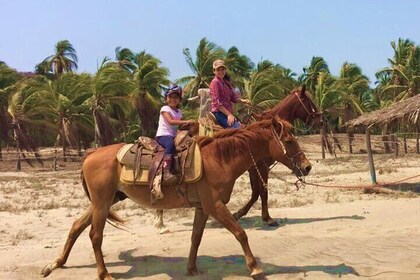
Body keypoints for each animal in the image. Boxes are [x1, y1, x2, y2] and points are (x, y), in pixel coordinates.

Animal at [41, 117, 312, 280]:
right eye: (289, 141)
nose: (307, 167)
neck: (218, 159)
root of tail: (90, 155)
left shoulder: (203, 207)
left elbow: (196, 238)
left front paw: (192, 268)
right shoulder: (215, 206)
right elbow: (240, 233)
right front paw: (255, 268)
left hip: (106, 201)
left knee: (76, 227)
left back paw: (55, 264)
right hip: (102, 202)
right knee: (95, 235)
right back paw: (104, 273)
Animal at [233, 86, 322, 225]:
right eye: (310, 102)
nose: (321, 121)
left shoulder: (255, 169)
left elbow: (256, 192)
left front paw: (238, 214)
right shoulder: (261, 167)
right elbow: (262, 191)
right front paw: (267, 218)